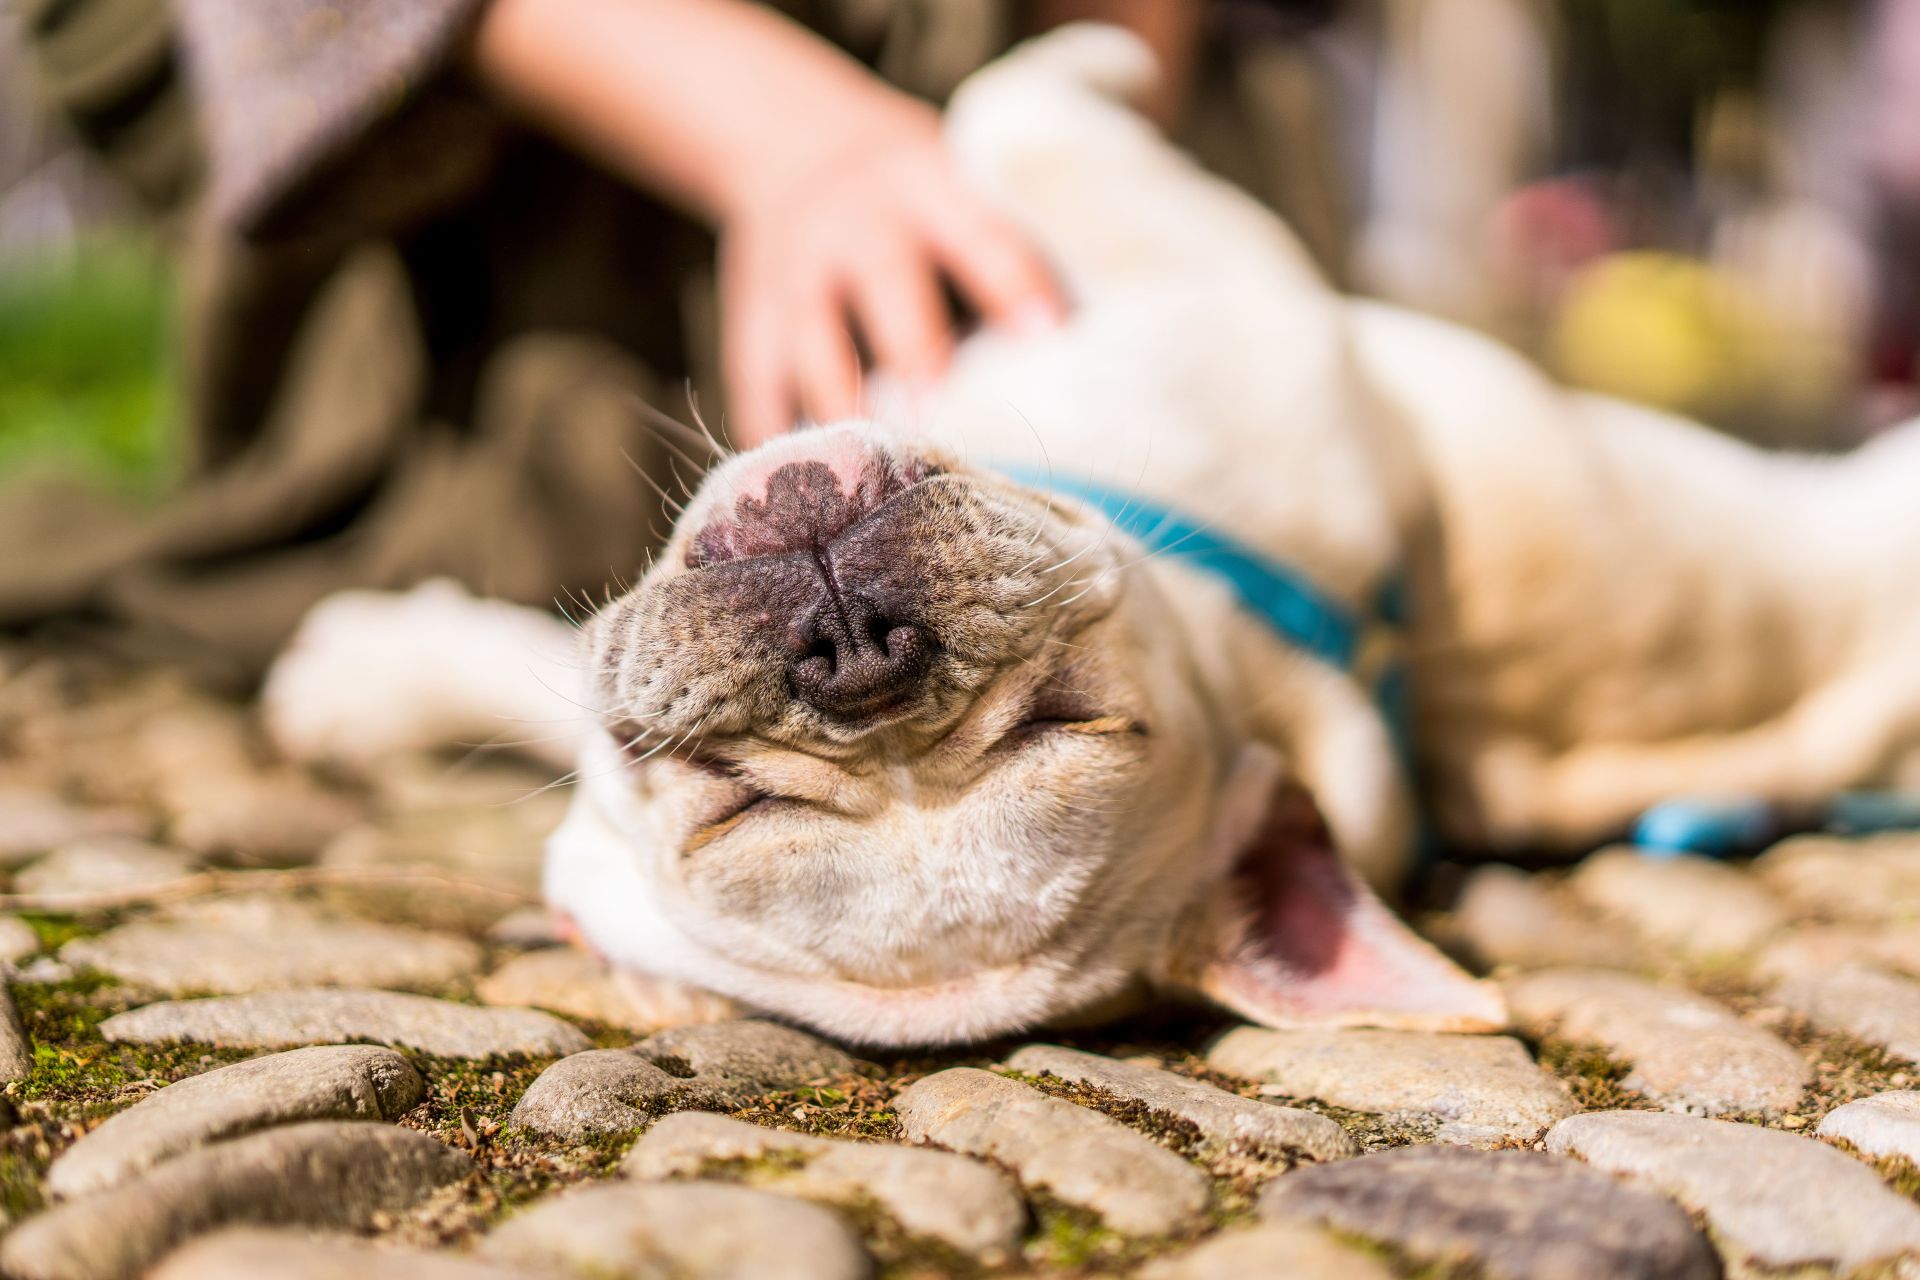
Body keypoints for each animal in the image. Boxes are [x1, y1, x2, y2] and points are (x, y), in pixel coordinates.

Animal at [263, 27, 1920, 1051]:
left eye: (1073, 722)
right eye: (736, 804)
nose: (855, 650)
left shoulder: (1207, 284)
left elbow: (1013, 102)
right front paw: (384, 674)